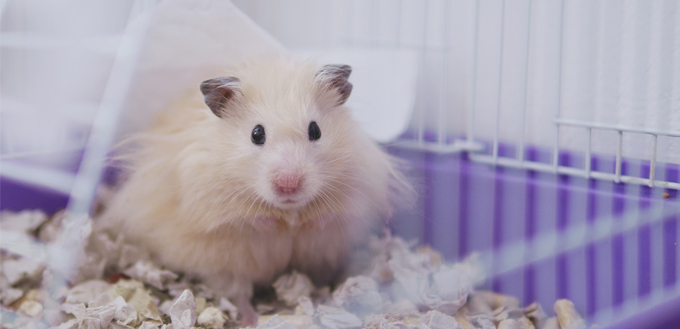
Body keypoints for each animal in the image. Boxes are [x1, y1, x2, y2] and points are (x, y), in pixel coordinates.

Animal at [99, 56, 412, 322]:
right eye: (256, 134)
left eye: (315, 131)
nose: (288, 184)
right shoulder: (202, 197)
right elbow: (242, 218)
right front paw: (278, 225)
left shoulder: (361, 186)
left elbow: (332, 214)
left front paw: (304, 223)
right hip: (226, 265)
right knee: (239, 293)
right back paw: (250, 318)